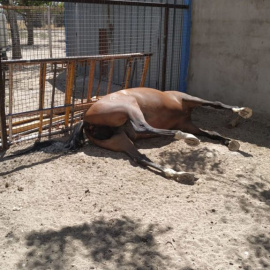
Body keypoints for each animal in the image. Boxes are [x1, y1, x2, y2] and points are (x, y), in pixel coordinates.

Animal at [65, 87, 251, 184]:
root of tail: (85, 120)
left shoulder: (188, 123)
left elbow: (211, 133)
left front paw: (230, 142)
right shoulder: (189, 100)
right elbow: (216, 104)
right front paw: (243, 111)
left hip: (120, 139)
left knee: (140, 158)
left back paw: (179, 174)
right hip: (130, 107)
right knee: (142, 127)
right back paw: (187, 139)